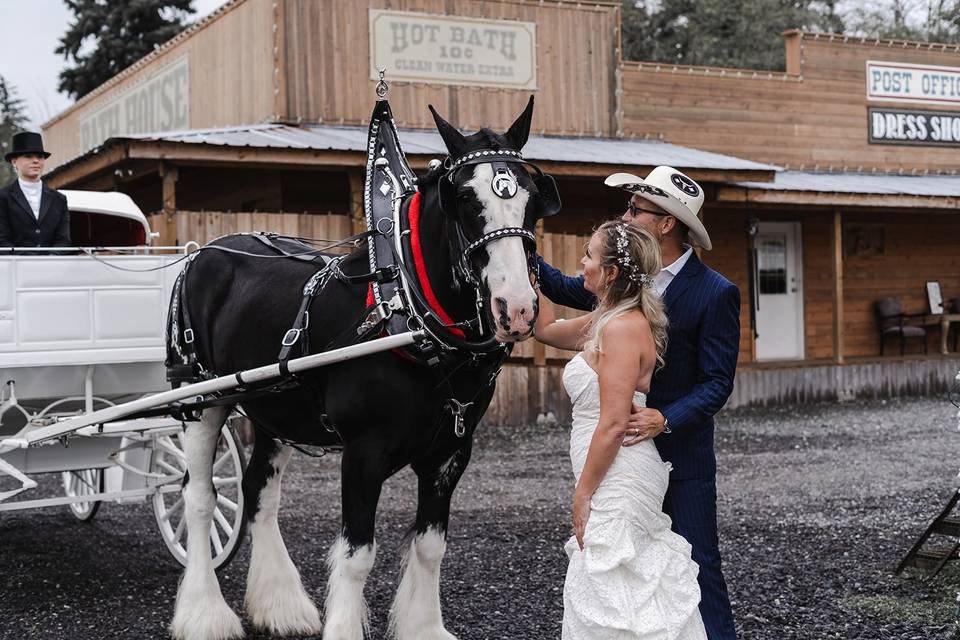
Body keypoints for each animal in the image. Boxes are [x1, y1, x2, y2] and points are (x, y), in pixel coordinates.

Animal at [166, 99, 556, 640]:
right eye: (463, 199)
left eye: (532, 199)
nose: (516, 308)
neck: (408, 314)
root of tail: (202, 252)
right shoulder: (363, 453)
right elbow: (357, 556)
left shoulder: (451, 453)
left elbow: (430, 547)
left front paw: (424, 626)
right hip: (200, 401)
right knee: (200, 499)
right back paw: (205, 613)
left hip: (274, 409)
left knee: (259, 491)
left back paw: (281, 605)